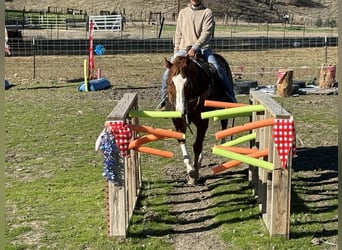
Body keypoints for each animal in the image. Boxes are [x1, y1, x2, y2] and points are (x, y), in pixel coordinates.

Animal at [165, 53, 236, 186]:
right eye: (171, 83)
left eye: (187, 84)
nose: (180, 110)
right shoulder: (178, 122)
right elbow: (182, 141)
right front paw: (190, 170)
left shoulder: (202, 122)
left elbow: (197, 146)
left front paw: (195, 175)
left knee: (223, 124)